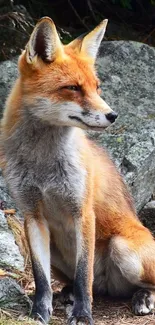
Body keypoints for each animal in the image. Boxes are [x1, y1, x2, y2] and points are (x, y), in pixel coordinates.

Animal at [0, 17, 155, 324]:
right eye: (73, 88)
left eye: (97, 87)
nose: (112, 115)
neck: (43, 166)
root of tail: (106, 285)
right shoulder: (32, 215)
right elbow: (41, 279)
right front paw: (39, 312)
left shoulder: (82, 211)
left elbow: (84, 274)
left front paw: (83, 315)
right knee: (78, 282)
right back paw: (68, 294)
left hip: (124, 250)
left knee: (131, 283)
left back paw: (142, 297)